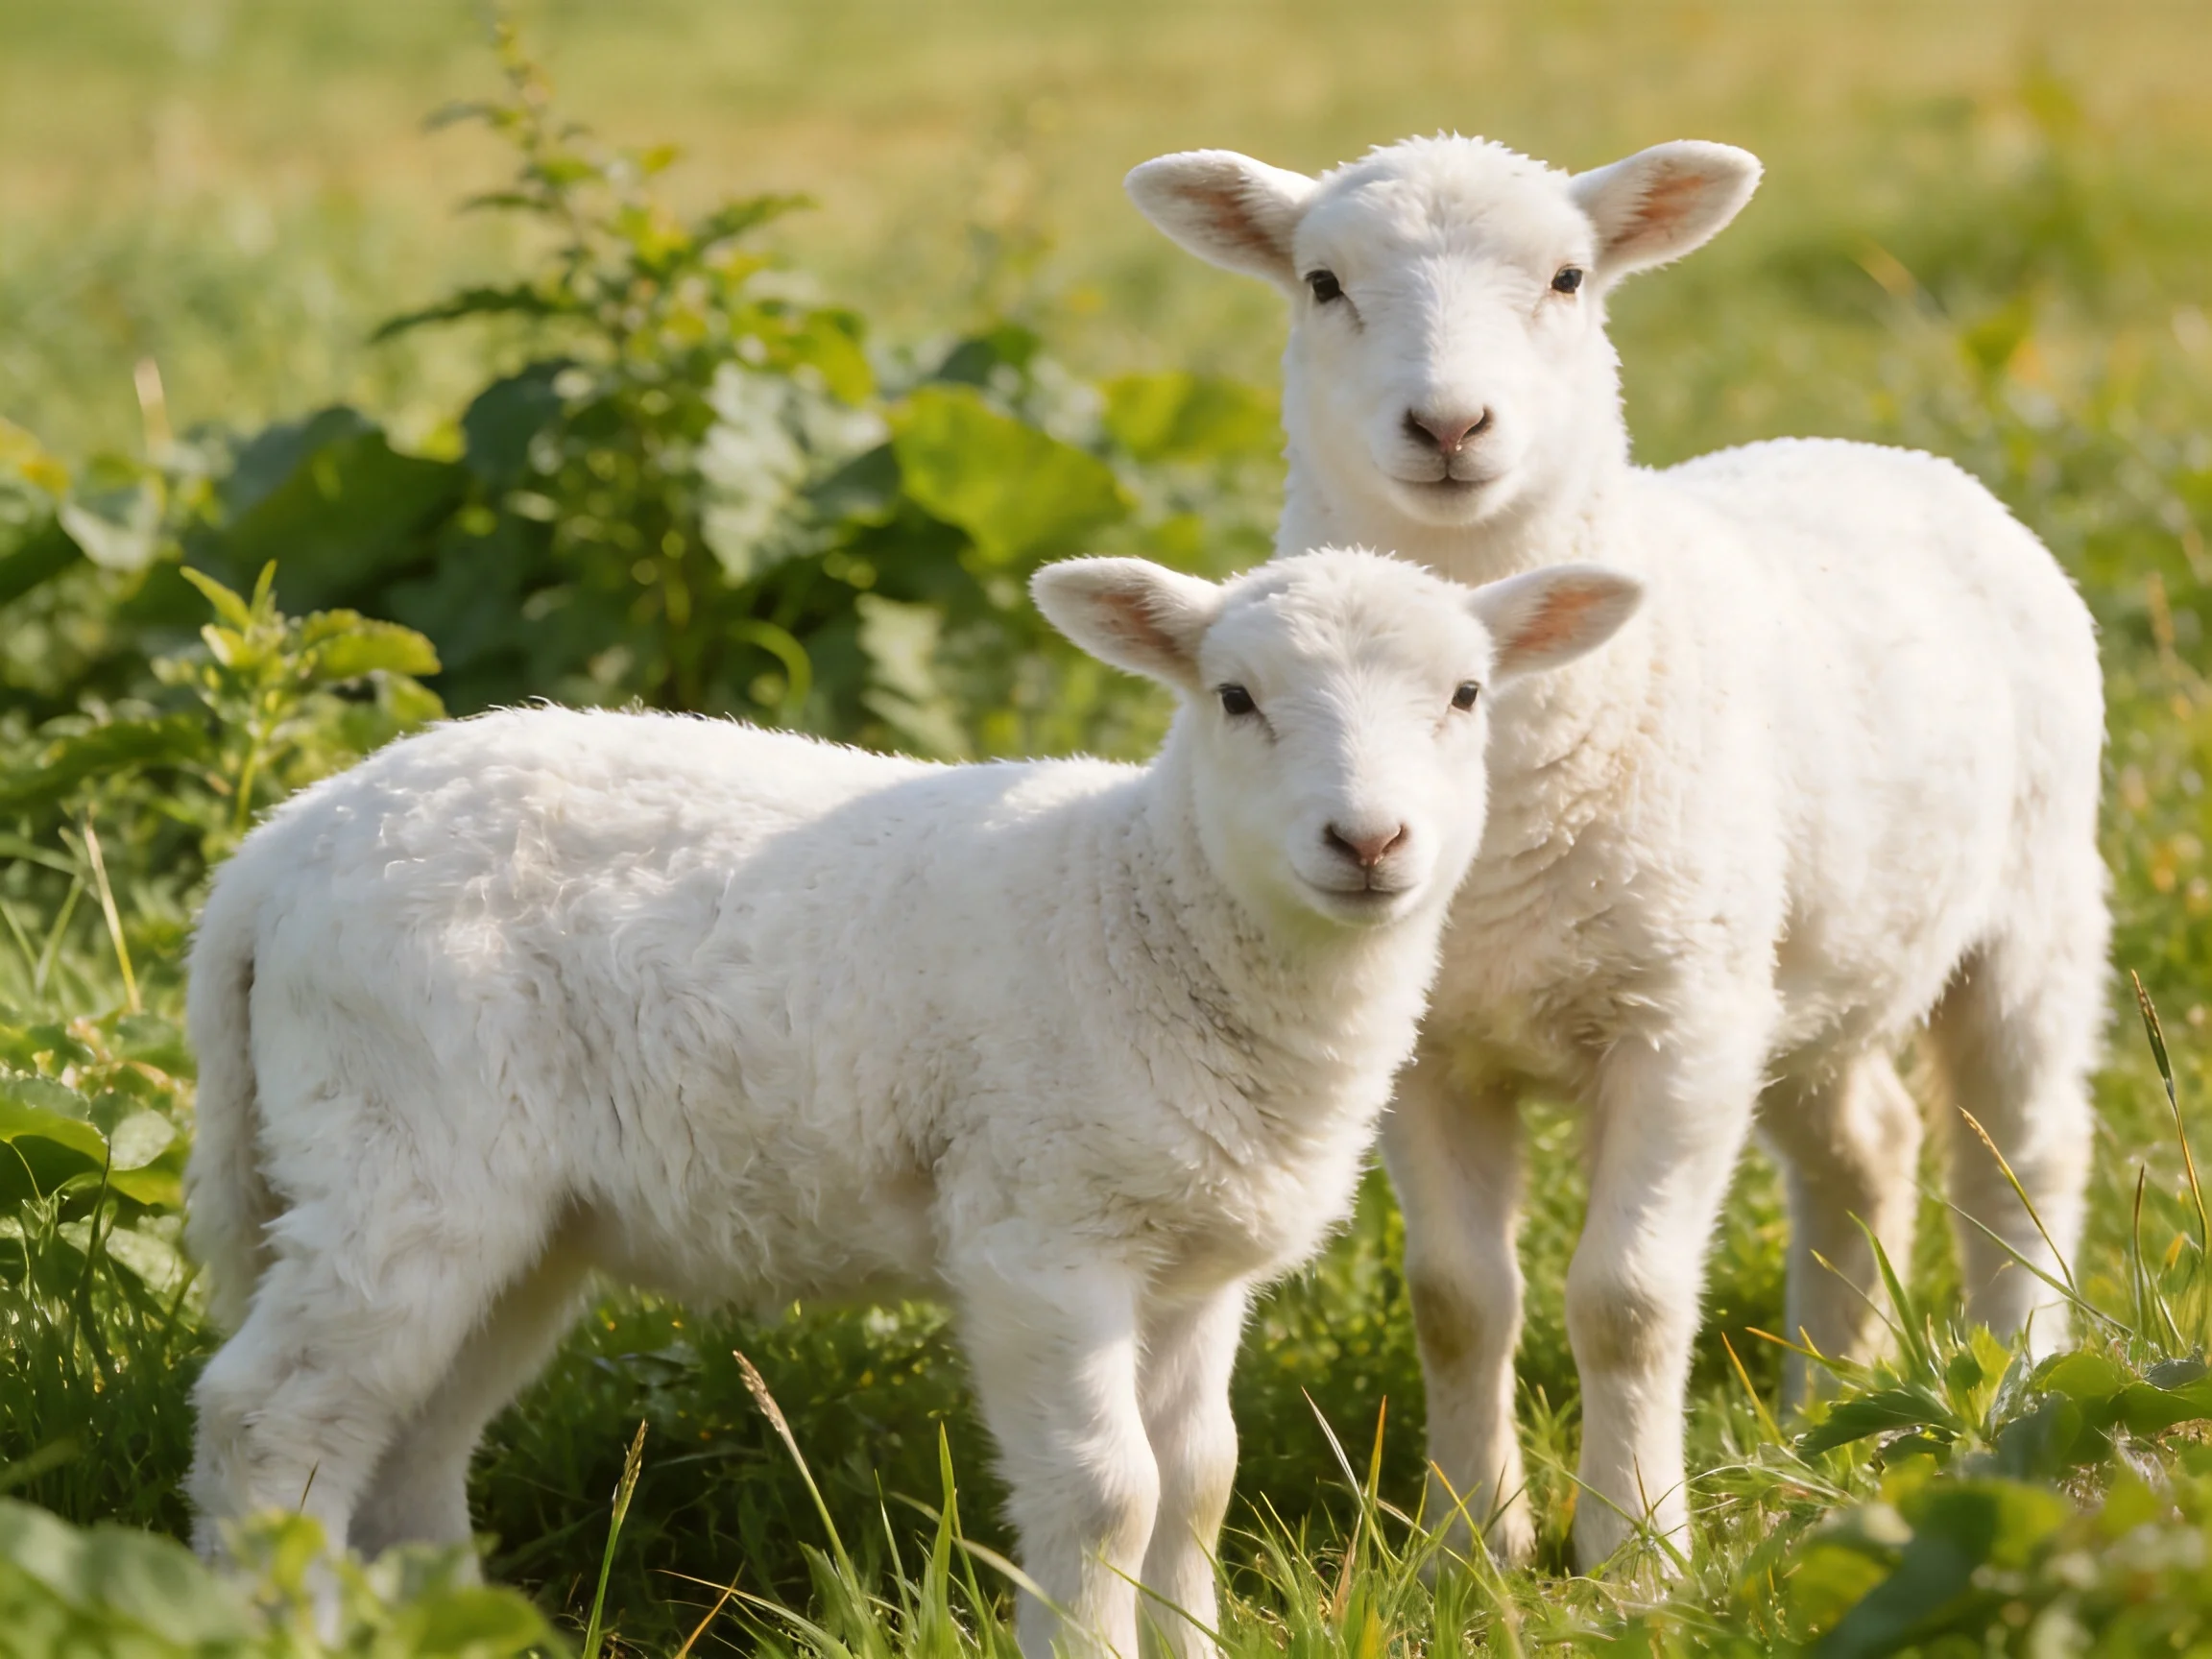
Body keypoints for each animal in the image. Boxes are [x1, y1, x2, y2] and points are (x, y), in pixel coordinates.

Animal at [182, 546, 1643, 1659]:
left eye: (1467, 694)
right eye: (1235, 697)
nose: (1369, 841)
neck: (1142, 903)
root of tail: (276, 852)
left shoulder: (1192, 1259)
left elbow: (1199, 1483)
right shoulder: (1040, 1238)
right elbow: (1109, 1493)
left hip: (517, 1214)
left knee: (409, 1438)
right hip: (403, 1141)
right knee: (273, 1413)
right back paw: (276, 1623)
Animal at [1127, 135, 2110, 1573]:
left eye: (1567, 277)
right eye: (1321, 282)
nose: (1449, 427)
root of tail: (1874, 448)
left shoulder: (1675, 1027)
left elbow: (1629, 1299)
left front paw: (1636, 1554)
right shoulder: (1435, 1050)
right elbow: (1457, 1297)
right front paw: (1468, 1545)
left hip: (2030, 907)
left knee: (2018, 1159)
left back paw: (2018, 1382)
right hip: (1800, 965)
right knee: (1866, 1144)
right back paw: (1824, 1408)